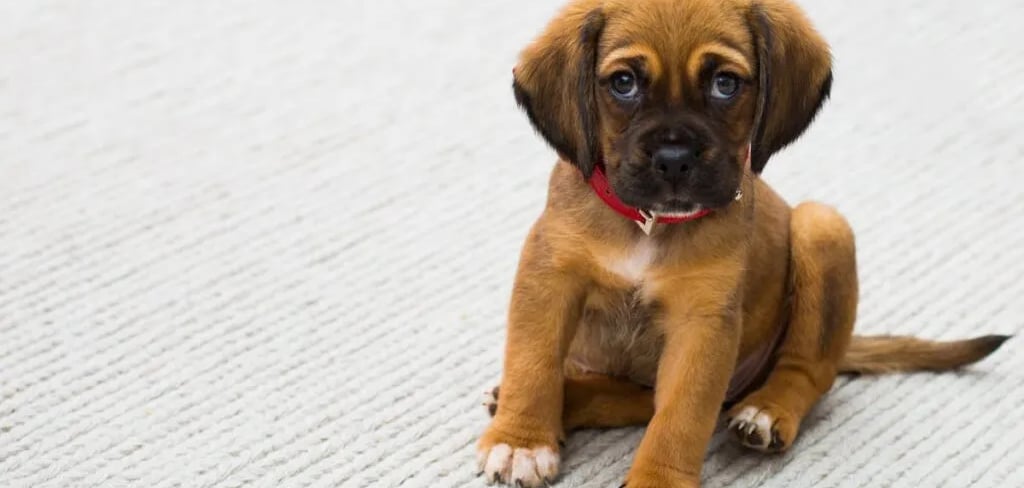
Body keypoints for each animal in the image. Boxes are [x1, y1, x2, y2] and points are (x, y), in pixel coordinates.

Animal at [477, 1, 1007, 484]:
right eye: (623, 83)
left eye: (725, 84)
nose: (674, 160)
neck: (649, 225)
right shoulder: (549, 279)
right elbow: (533, 363)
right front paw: (522, 441)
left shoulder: (702, 324)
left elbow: (681, 418)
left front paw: (657, 479)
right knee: (635, 398)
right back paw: (559, 399)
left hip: (821, 227)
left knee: (808, 371)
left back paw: (768, 411)